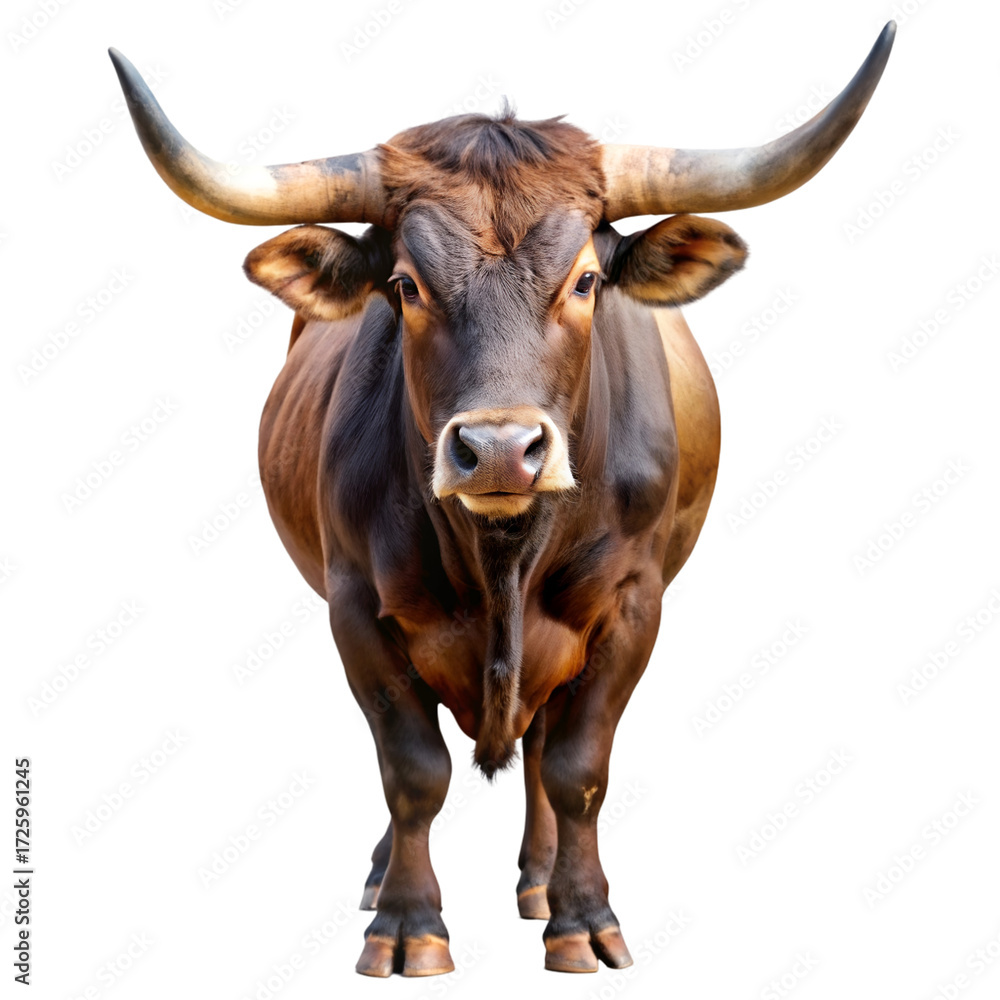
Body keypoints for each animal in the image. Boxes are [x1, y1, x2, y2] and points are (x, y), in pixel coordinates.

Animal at [110, 22, 894, 978]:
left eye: (587, 280)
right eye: (405, 285)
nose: (499, 451)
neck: (502, 555)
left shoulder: (633, 607)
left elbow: (577, 768)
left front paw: (582, 918)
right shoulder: (354, 608)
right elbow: (413, 771)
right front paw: (407, 924)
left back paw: (540, 879)